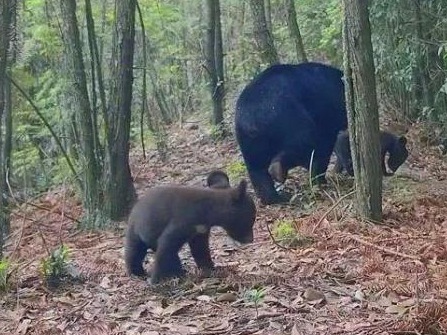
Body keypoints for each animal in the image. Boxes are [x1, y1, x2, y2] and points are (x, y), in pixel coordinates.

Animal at [124, 180, 258, 284]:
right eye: (250, 219)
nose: (250, 239)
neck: (207, 210)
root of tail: (135, 207)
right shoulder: (182, 222)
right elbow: (166, 246)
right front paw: (156, 280)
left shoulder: (200, 231)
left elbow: (200, 250)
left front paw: (210, 269)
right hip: (135, 231)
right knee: (134, 252)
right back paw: (137, 272)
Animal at [236, 62, 348, 205]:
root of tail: (252, 119)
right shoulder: (326, 117)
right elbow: (324, 146)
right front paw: (322, 177)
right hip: (287, 116)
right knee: (305, 141)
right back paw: (279, 171)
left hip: (248, 141)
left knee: (256, 169)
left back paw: (274, 197)